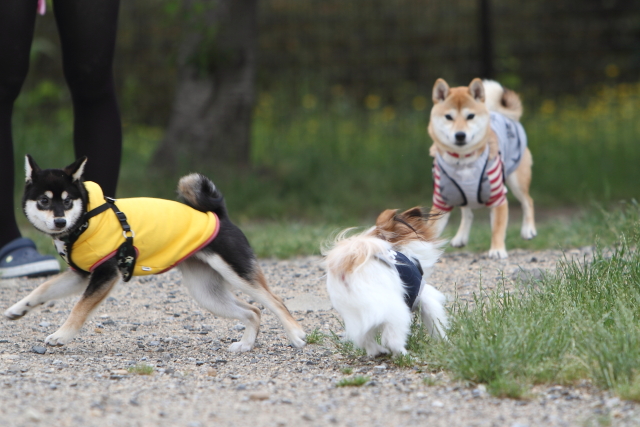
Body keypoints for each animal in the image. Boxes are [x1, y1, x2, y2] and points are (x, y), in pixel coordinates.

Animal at [4, 155, 307, 352]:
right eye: (44, 201)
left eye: (67, 202)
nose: (59, 221)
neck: (87, 218)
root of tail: (218, 214)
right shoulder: (81, 274)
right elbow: (43, 288)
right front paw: (18, 308)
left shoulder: (105, 273)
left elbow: (79, 308)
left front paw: (62, 335)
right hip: (206, 293)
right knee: (253, 311)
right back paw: (245, 344)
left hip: (236, 272)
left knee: (274, 302)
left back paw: (296, 335)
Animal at [323, 207, 447, 357]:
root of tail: (349, 266)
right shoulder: (425, 298)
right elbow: (437, 325)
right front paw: (446, 343)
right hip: (397, 309)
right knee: (393, 339)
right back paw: (405, 355)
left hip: (355, 312)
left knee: (363, 337)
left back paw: (378, 351)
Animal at [427, 78, 536, 259]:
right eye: (448, 117)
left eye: (470, 116)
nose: (460, 135)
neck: (463, 161)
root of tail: (502, 114)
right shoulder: (442, 201)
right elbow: (430, 230)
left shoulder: (498, 197)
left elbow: (497, 228)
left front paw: (497, 249)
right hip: (462, 194)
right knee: (467, 213)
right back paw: (461, 237)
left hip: (516, 181)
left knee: (528, 201)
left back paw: (528, 230)